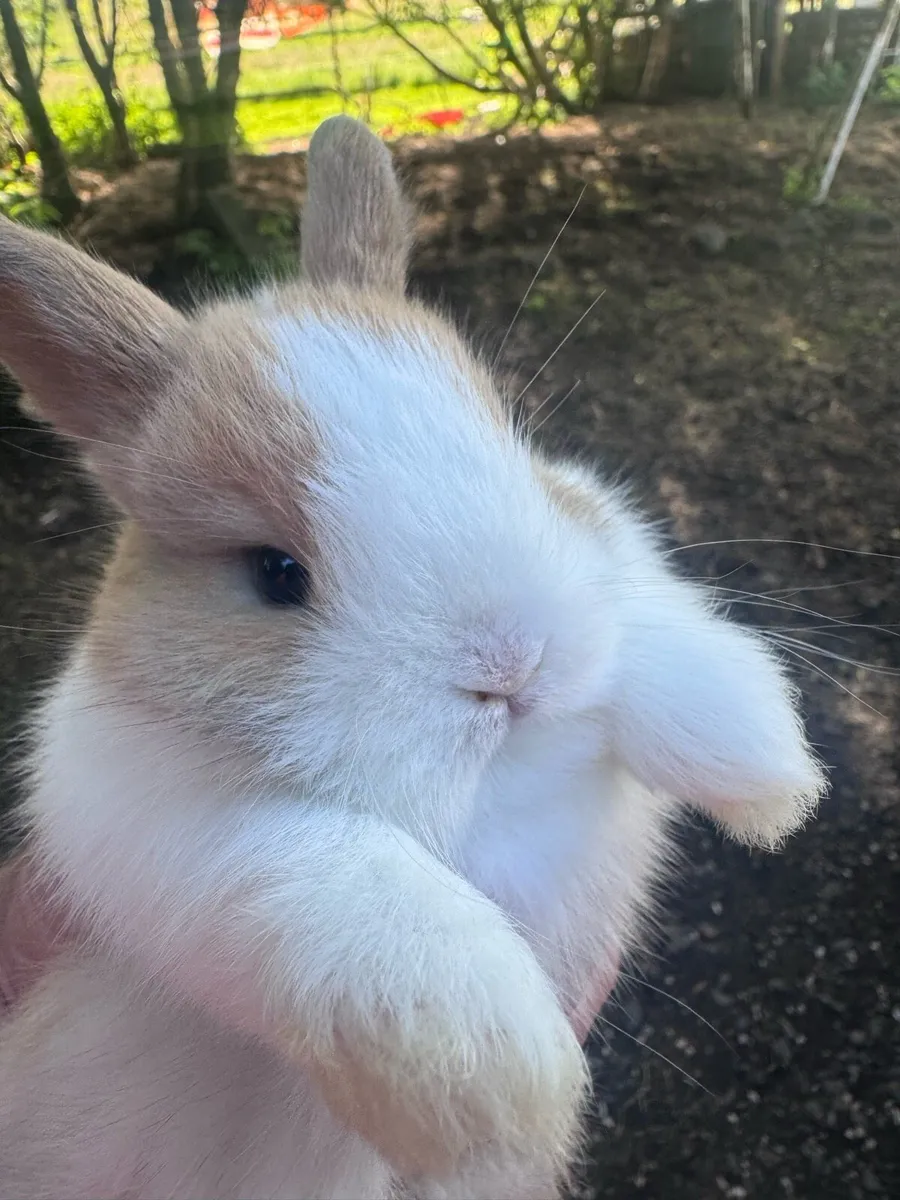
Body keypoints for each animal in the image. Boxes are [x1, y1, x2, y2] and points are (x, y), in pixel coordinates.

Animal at [0, 114, 826, 1200]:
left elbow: (629, 584)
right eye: (276, 574)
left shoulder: (597, 540)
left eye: (513, 450)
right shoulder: (132, 807)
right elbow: (316, 861)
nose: (514, 667)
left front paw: (767, 766)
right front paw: (498, 1077)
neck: (495, 786)